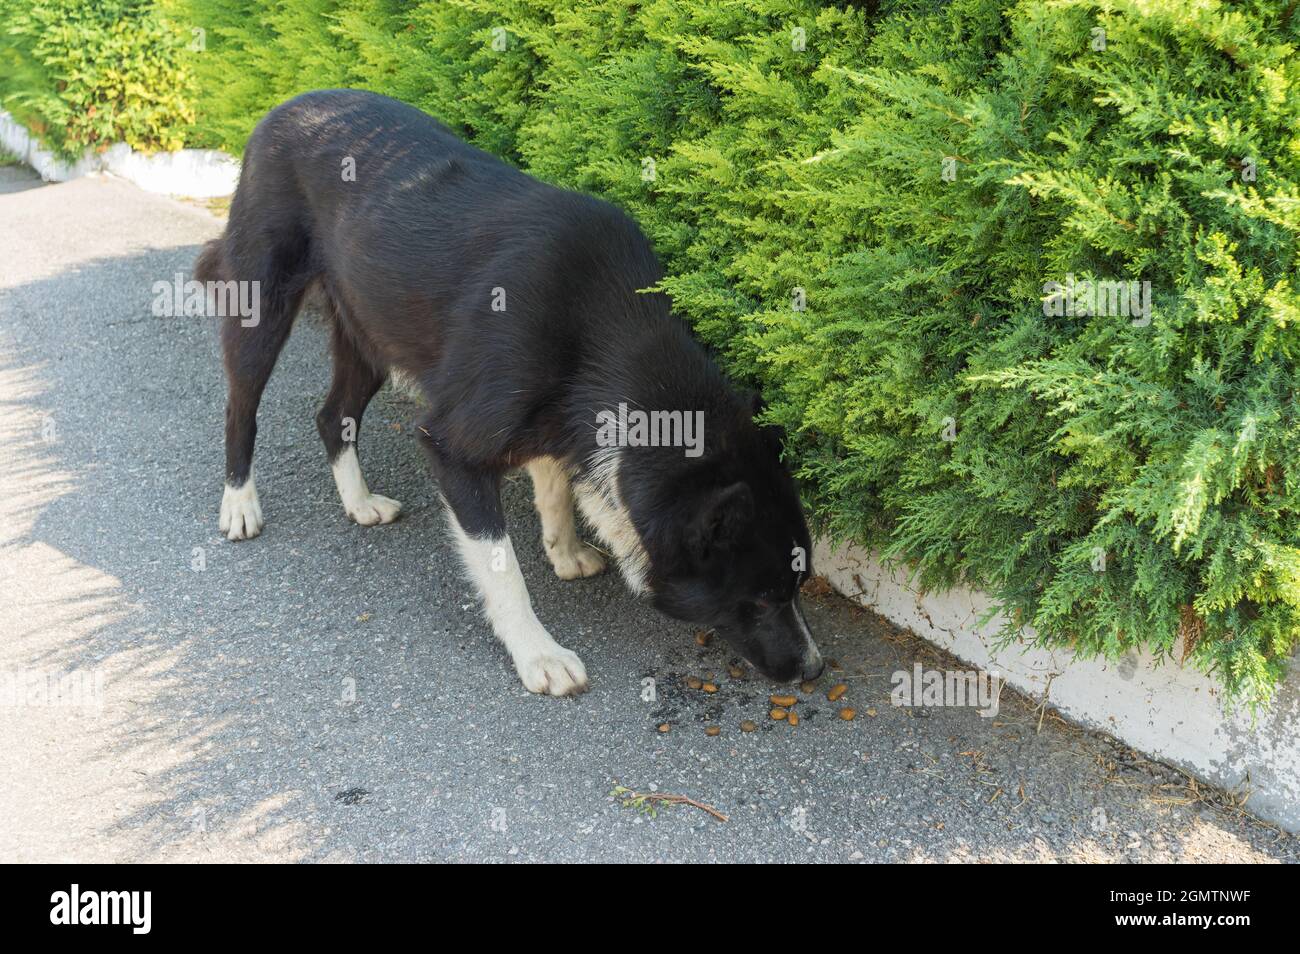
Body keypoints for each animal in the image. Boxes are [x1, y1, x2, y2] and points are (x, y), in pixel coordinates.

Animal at [195, 91, 821, 696]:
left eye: (797, 585)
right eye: (762, 598)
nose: (815, 669)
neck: (608, 335)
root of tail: (286, 106)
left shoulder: (555, 419)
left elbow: (555, 487)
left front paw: (564, 551)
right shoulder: (452, 447)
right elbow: (502, 566)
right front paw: (538, 653)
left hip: (369, 334)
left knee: (333, 416)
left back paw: (359, 501)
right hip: (262, 308)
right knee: (239, 409)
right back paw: (239, 504)